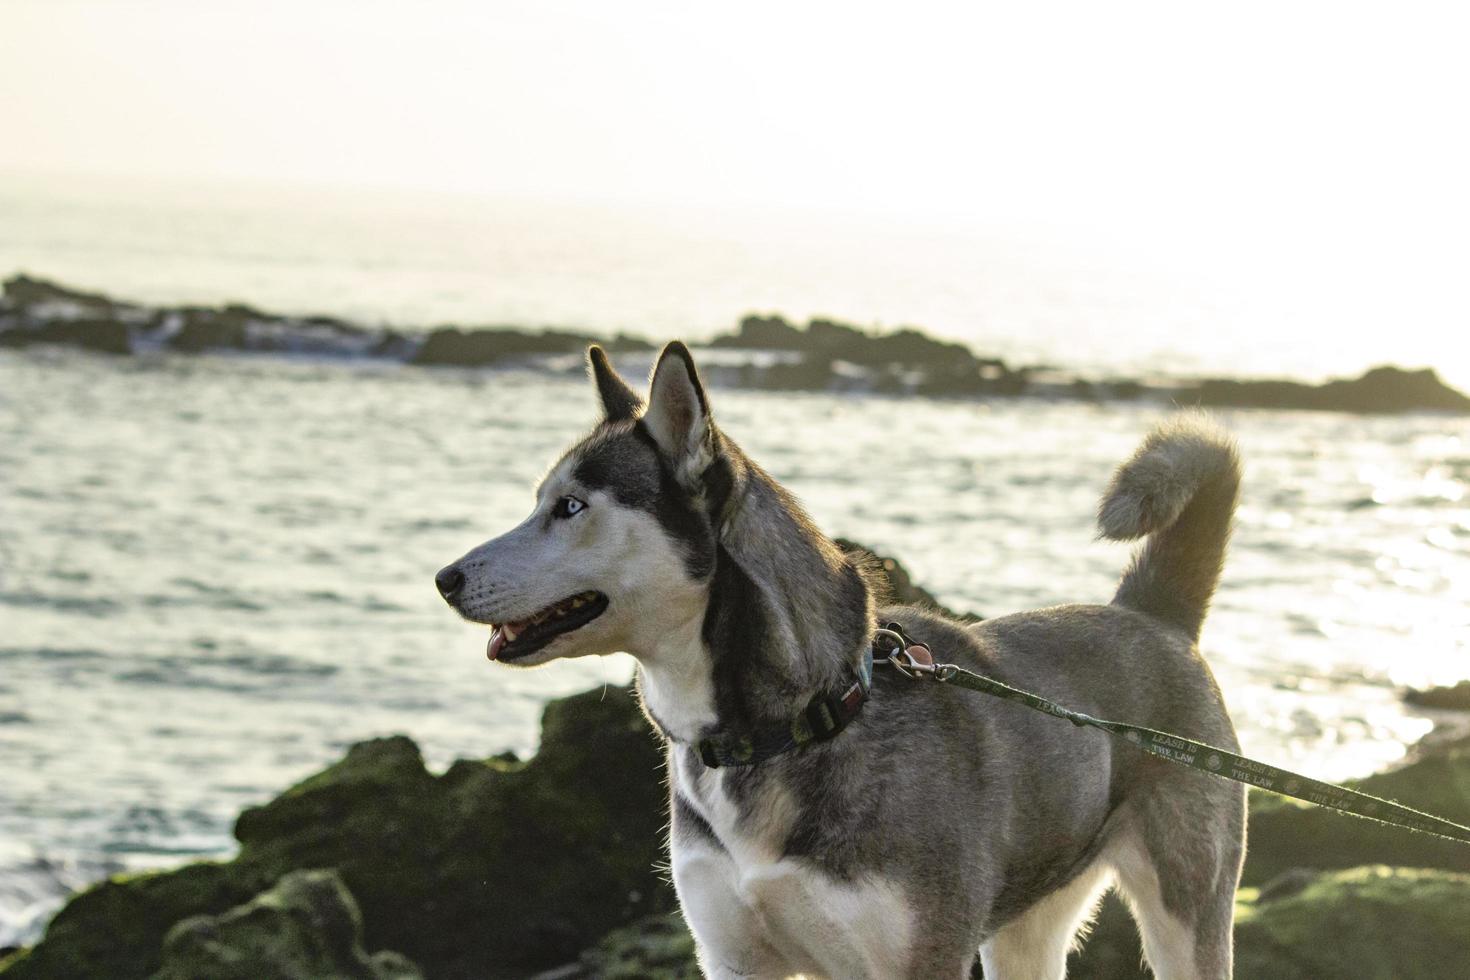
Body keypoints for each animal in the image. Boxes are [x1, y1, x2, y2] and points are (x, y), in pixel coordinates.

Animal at [432, 345, 1240, 980]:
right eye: (540, 500)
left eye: (570, 507)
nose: (445, 578)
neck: (790, 725)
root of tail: (1150, 614)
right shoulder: (733, 960)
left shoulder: (920, 961)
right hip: (1026, 930)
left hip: (1185, 918)